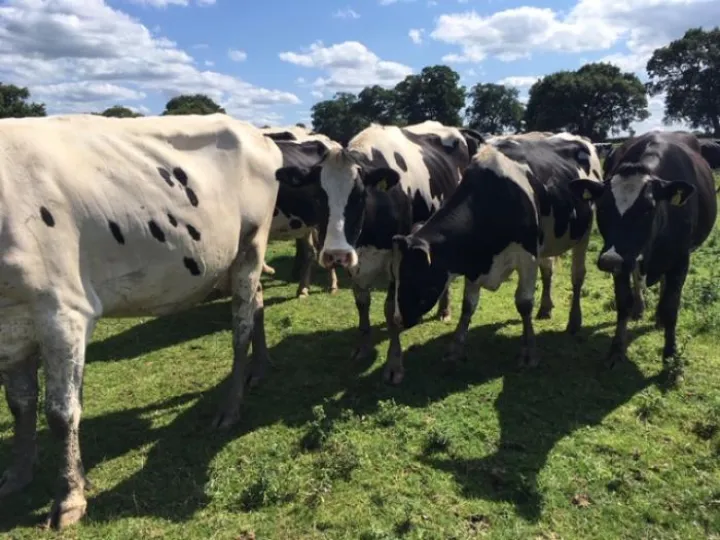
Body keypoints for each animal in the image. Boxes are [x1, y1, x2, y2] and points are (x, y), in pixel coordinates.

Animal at [0, 113, 282, 529]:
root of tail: (255, 132)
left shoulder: (62, 311)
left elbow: (61, 412)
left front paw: (68, 498)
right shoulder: (12, 324)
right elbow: (20, 404)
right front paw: (19, 475)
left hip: (251, 244)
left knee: (241, 325)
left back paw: (230, 408)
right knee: (258, 301)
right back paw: (259, 369)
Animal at [274, 120, 484, 384]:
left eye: (360, 196)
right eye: (316, 195)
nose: (335, 254)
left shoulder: (397, 260)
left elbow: (390, 311)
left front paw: (394, 364)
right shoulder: (355, 261)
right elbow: (362, 304)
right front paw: (363, 347)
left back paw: (444, 311)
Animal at [389, 133, 603, 376]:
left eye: (413, 276)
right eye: (394, 276)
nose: (397, 320)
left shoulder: (527, 256)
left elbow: (524, 303)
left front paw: (529, 352)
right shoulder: (474, 263)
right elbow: (468, 305)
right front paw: (455, 348)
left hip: (583, 233)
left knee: (577, 276)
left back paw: (574, 321)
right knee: (548, 270)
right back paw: (545, 308)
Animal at [569, 130, 717, 373]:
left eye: (648, 208)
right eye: (603, 207)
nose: (609, 260)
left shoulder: (680, 260)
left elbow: (671, 307)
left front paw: (670, 355)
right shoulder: (622, 260)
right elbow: (623, 302)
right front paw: (616, 350)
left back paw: (657, 318)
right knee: (637, 277)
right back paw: (640, 307)